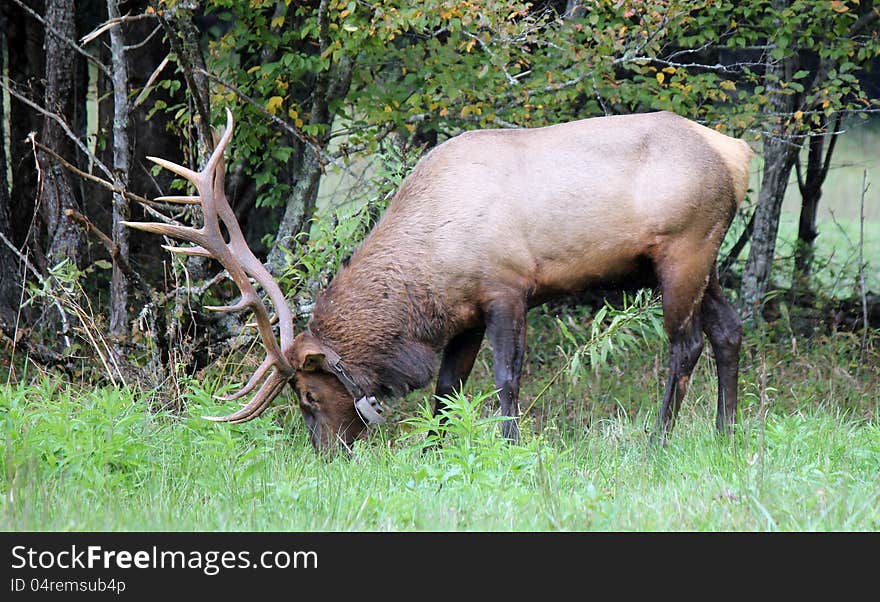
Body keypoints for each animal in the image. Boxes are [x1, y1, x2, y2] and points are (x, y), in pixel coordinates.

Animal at [127, 109, 752, 454]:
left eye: (307, 395)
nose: (326, 456)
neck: (429, 276)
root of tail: (738, 154)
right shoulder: (465, 314)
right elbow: (447, 389)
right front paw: (435, 452)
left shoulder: (507, 287)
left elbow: (506, 379)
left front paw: (509, 448)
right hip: (706, 259)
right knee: (729, 328)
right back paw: (725, 435)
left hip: (683, 250)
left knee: (685, 344)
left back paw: (656, 443)